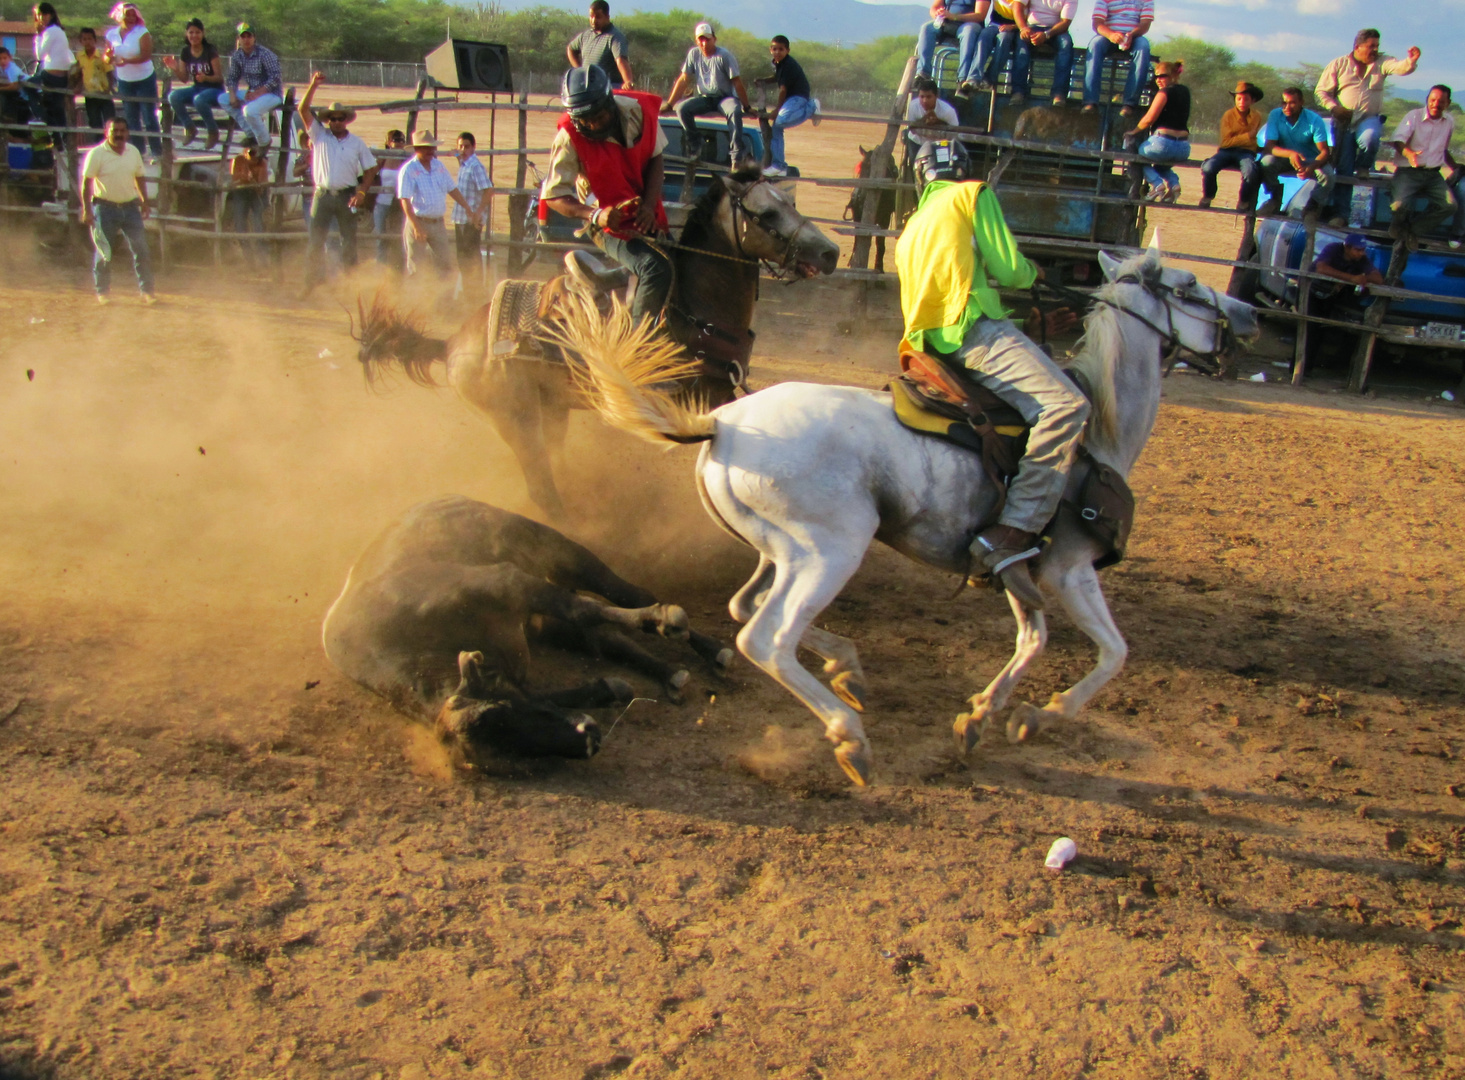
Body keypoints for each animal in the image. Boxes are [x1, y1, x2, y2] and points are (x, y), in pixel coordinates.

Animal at [323, 495, 729, 756]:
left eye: (501, 715)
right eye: (510, 749)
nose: (589, 740)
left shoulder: (511, 584)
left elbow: (583, 608)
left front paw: (661, 620)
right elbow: (551, 686)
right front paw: (606, 690)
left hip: (562, 554)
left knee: (627, 594)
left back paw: (704, 646)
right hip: (541, 623)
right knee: (612, 639)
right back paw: (668, 673)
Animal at [348, 166, 843, 521]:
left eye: (790, 201)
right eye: (767, 214)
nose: (830, 253)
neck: (693, 310)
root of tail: (453, 342)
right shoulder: (695, 401)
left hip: (552, 409)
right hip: (514, 418)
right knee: (540, 486)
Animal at [550, 241, 1259, 785]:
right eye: (1190, 286)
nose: (1250, 314)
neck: (1098, 430)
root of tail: (722, 423)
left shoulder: (1018, 566)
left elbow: (1032, 639)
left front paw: (983, 715)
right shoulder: (1068, 568)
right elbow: (1113, 652)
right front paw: (1043, 715)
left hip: (778, 551)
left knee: (745, 608)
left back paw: (846, 668)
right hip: (832, 551)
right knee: (766, 636)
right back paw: (850, 736)